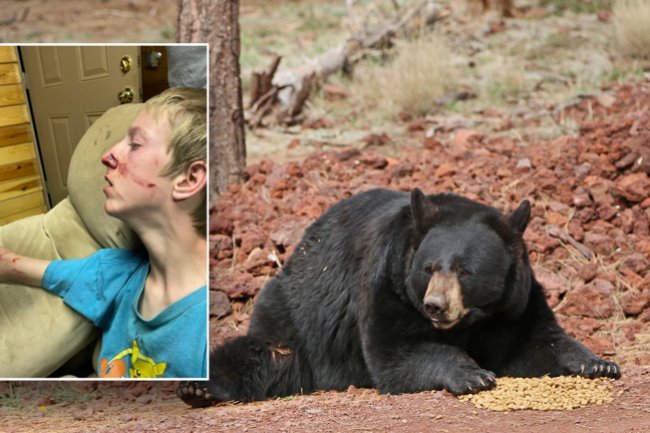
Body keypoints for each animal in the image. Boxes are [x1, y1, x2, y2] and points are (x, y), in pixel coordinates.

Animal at [178, 188, 620, 407]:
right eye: (428, 267)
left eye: (465, 270)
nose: (434, 306)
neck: (473, 320)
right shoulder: (388, 287)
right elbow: (397, 352)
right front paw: (472, 374)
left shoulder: (515, 302)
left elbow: (537, 341)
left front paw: (600, 364)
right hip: (295, 315)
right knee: (270, 356)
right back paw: (198, 388)